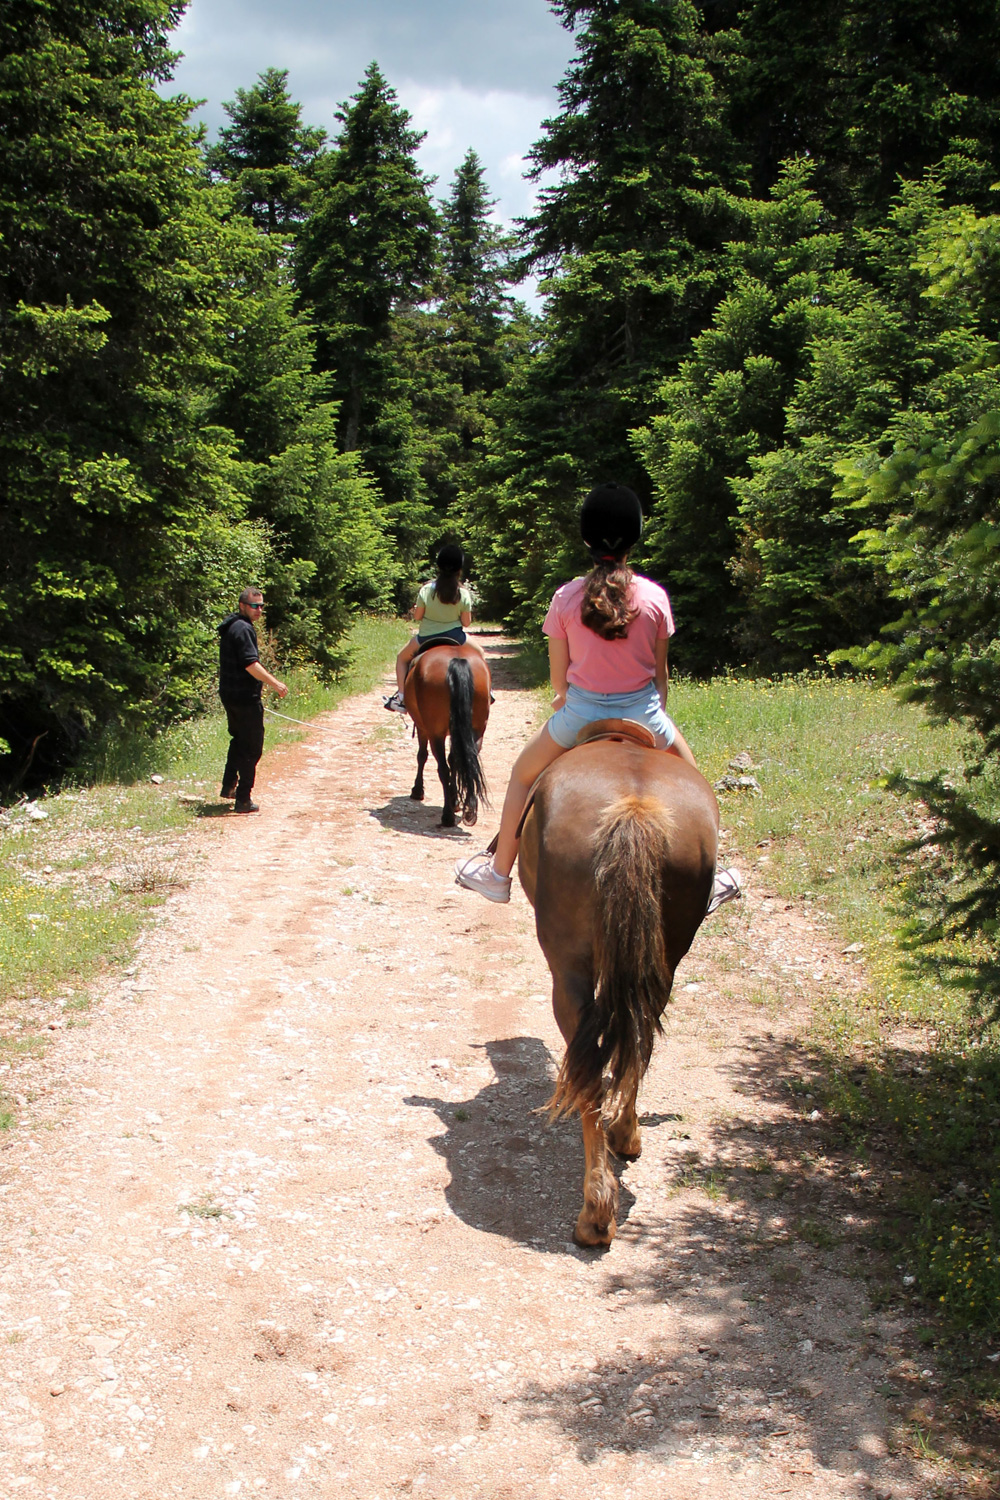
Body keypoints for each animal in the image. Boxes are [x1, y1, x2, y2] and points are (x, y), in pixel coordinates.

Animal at [401, 645, 488, 834]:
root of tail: (457, 660)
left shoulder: (423, 727)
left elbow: (422, 756)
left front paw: (417, 790)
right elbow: (455, 760)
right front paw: (456, 800)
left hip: (436, 733)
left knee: (442, 769)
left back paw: (447, 816)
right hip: (477, 730)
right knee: (469, 762)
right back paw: (470, 811)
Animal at [515, 723, 719, 1242]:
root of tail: (635, 806)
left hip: (567, 969)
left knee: (588, 1069)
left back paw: (594, 1214)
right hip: (665, 958)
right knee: (639, 1039)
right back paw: (626, 1135)